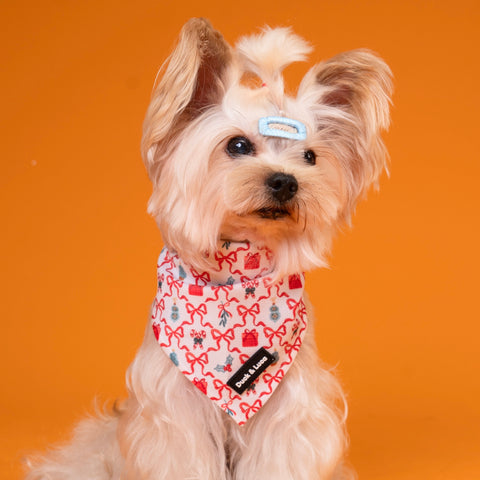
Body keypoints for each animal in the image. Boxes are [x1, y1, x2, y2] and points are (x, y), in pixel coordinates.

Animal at [24, 16, 392, 478]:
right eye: (237, 145)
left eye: (310, 156)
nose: (285, 181)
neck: (239, 273)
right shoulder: (176, 412)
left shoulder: (288, 411)